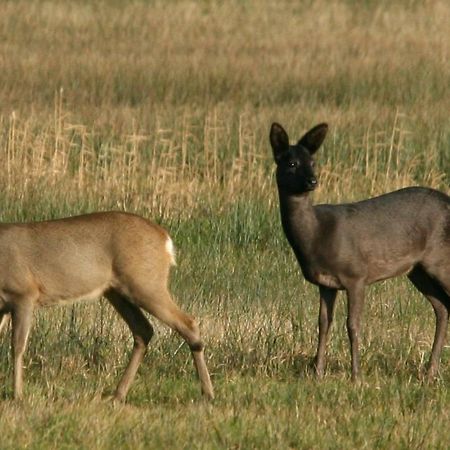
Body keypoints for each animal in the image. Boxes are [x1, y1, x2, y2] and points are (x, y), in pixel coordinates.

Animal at [0, 211, 214, 400]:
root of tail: (165, 240)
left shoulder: (24, 294)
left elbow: (17, 345)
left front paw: (18, 395)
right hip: (117, 292)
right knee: (143, 329)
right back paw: (118, 394)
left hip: (146, 284)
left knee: (188, 323)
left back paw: (208, 393)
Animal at [270, 122, 450, 380]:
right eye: (292, 163)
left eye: (313, 162)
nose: (313, 181)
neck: (317, 234)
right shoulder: (326, 283)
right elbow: (323, 323)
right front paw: (317, 372)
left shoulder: (356, 274)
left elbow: (352, 325)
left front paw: (356, 375)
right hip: (418, 270)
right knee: (442, 307)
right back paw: (429, 372)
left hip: (440, 259)